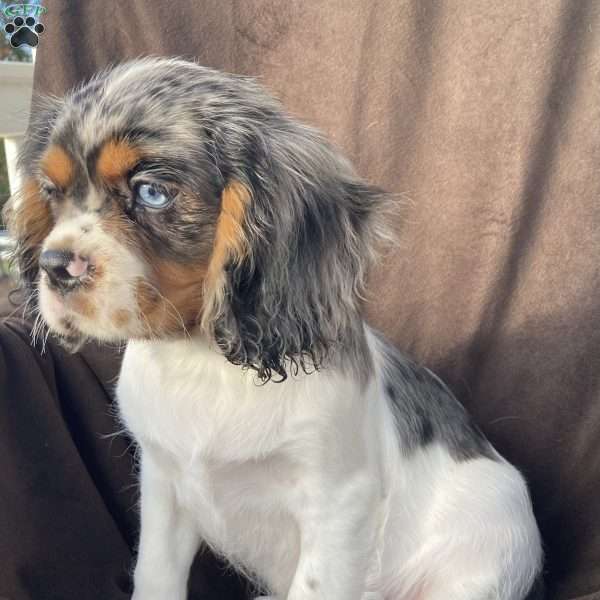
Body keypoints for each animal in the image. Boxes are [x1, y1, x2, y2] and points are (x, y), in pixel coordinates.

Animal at [7, 57, 544, 600]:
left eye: (151, 193)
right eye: (51, 192)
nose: (54, 266)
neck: (201, 361)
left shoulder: (338, 505)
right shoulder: (163, 486)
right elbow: (154, 577)